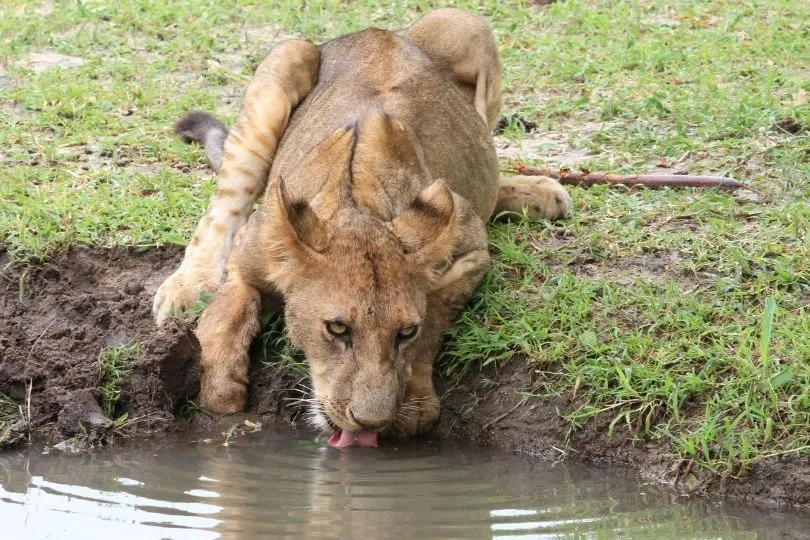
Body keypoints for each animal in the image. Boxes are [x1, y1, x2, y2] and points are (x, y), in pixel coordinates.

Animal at [153, 8, 568, 448]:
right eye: (337, 328)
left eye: (405, 332)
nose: (371, 422)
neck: (358, 208)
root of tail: (381, 32)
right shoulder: (248, 257)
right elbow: (226, 312)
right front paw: (219, 386)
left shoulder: (471, 248)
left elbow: (435, 317)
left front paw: (415, 405)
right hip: (285, 59)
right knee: (223, 207)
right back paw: (185, 288)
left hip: (464, 24)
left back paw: (541, 192)